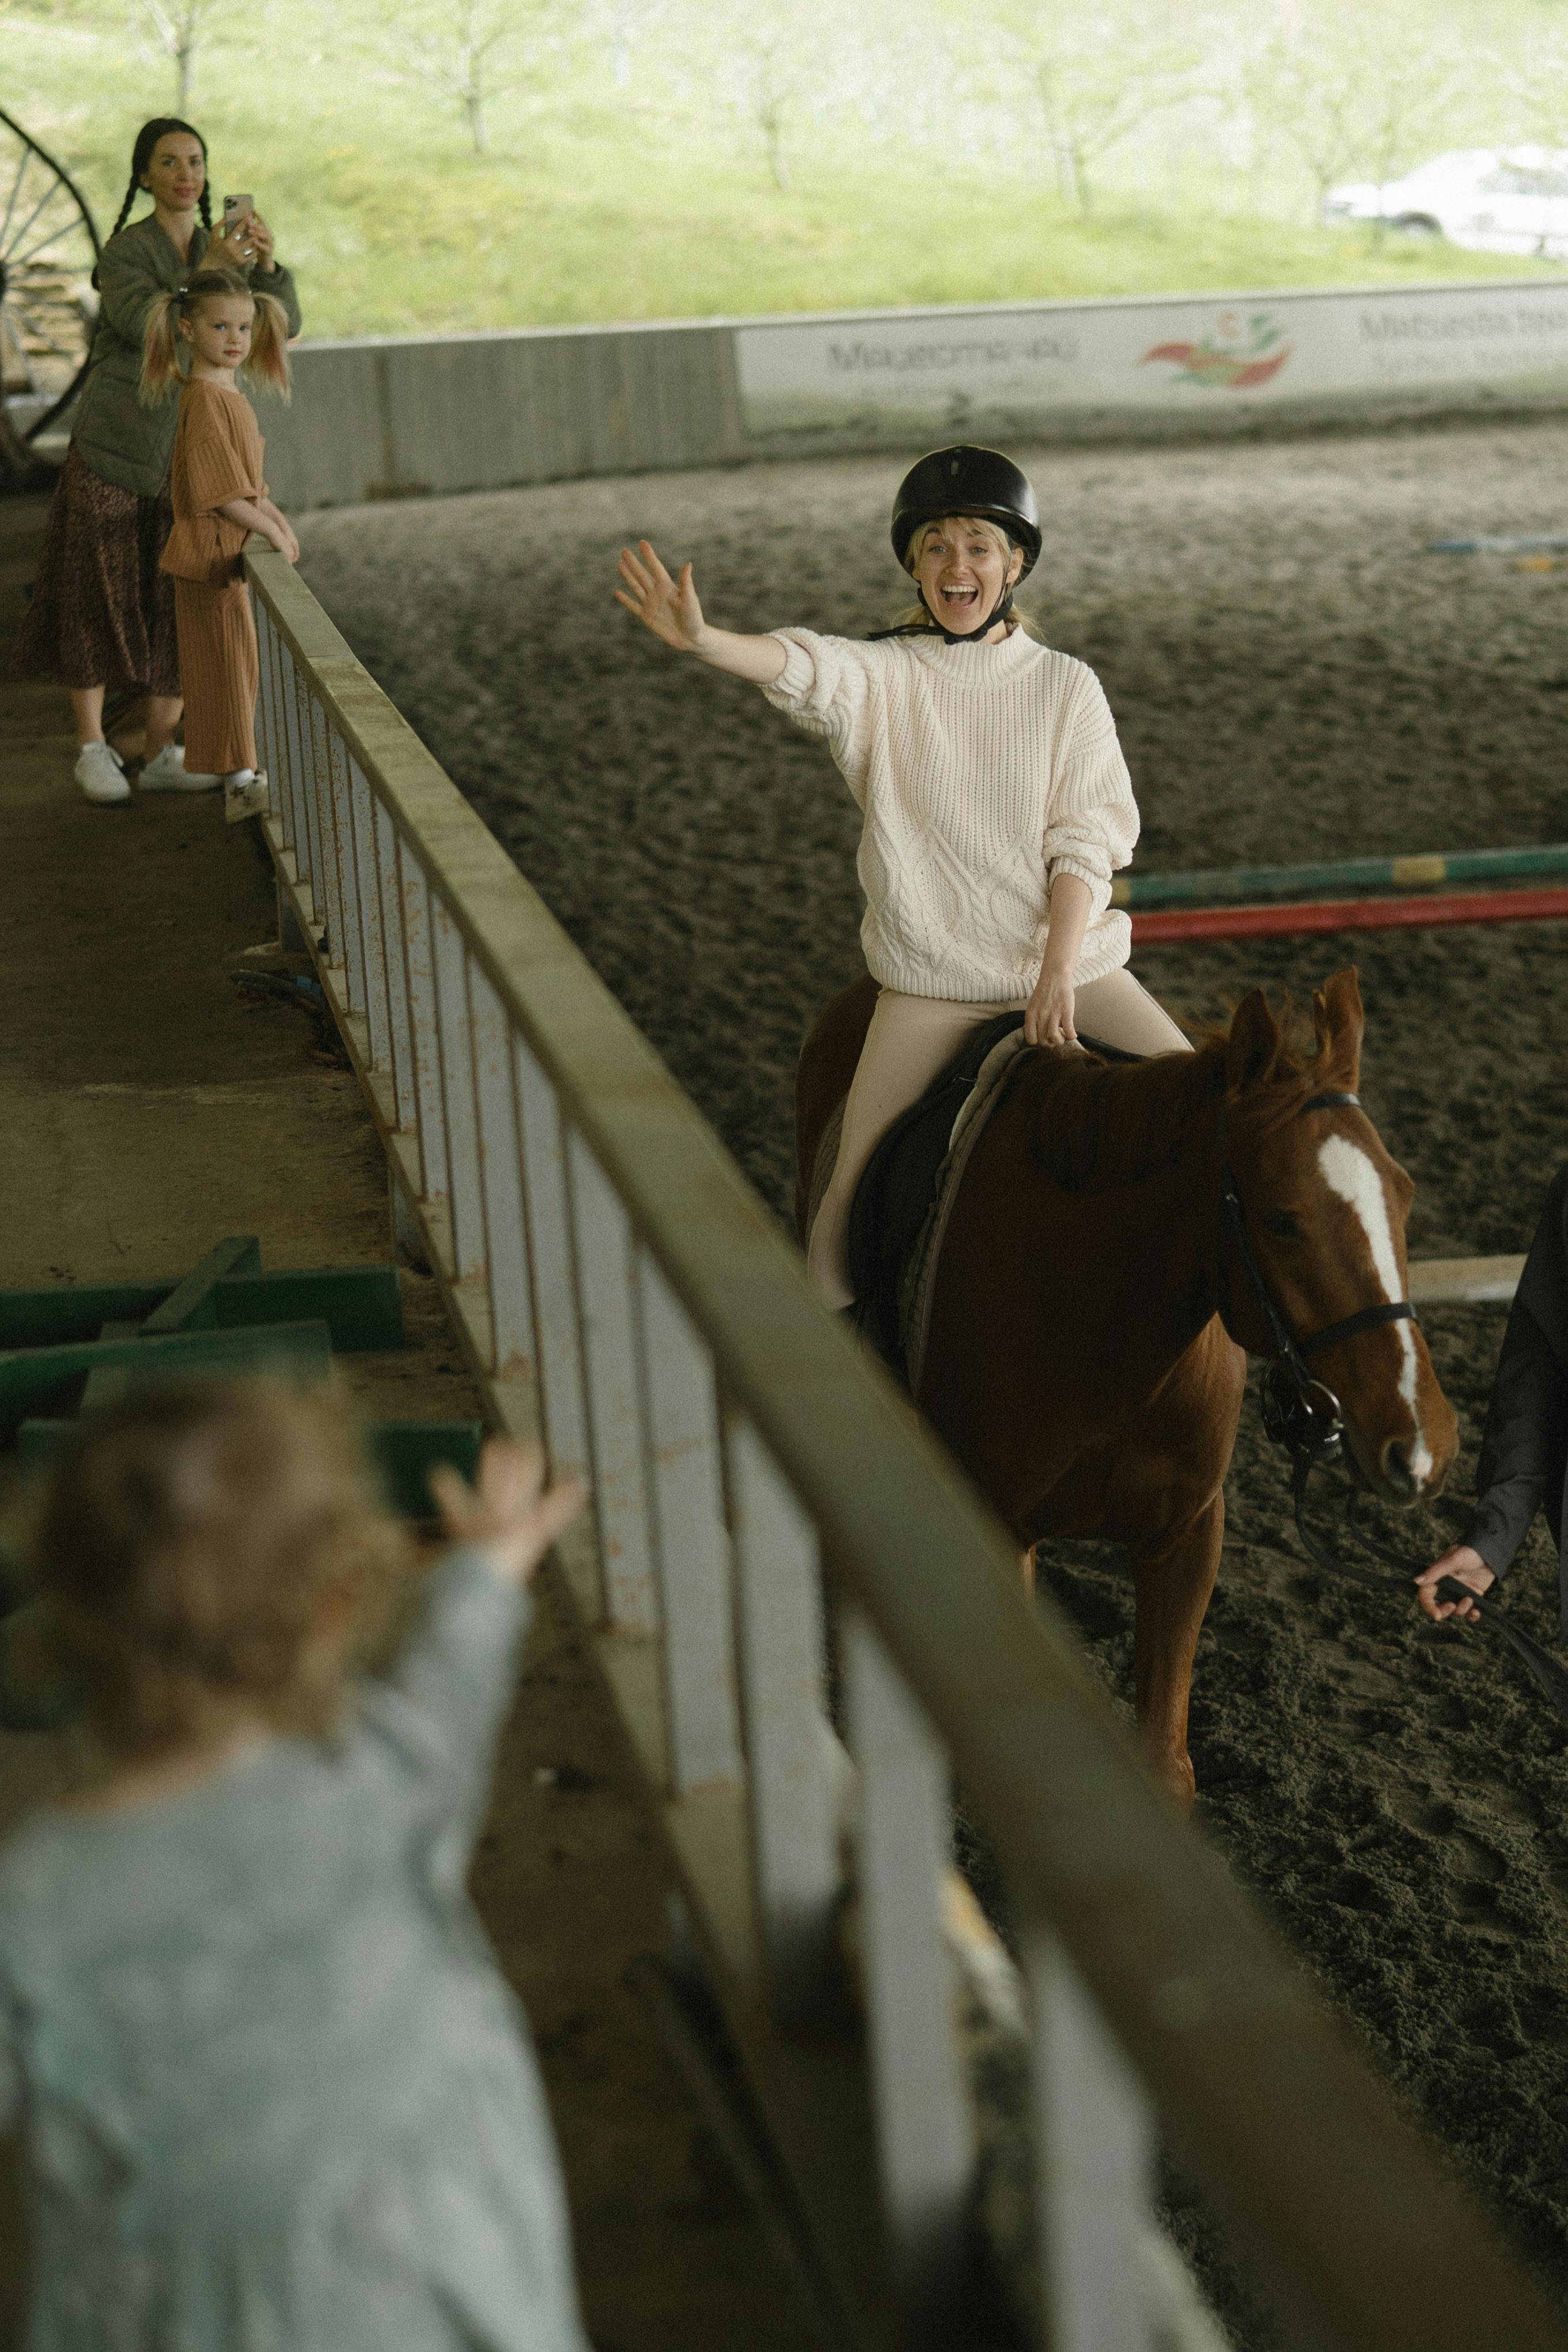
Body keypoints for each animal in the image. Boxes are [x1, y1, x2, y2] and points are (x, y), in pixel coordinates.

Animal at [799, 964, 1457, 1806]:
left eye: (1402, 1195)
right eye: (1281, 1220)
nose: (1421, 1442)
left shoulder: (1187, 1534)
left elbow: (1165, 1763)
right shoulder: (1002, 1531)